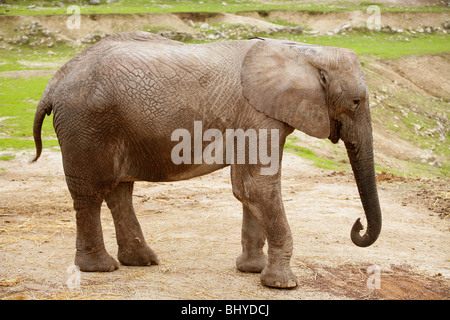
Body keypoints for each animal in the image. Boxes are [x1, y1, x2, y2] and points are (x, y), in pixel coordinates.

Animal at [32, 31, 384, 288]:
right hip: (86, 124)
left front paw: (252, 270)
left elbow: (249, 189)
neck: (304, 53)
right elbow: (257, 187)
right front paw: (282, 284)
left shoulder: (256, 117)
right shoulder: (257, 115)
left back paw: (141, 260)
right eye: (356, 102)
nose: (357, 224)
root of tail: (54, 81)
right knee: (91, 193)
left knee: (120, 191)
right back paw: (99, 268)